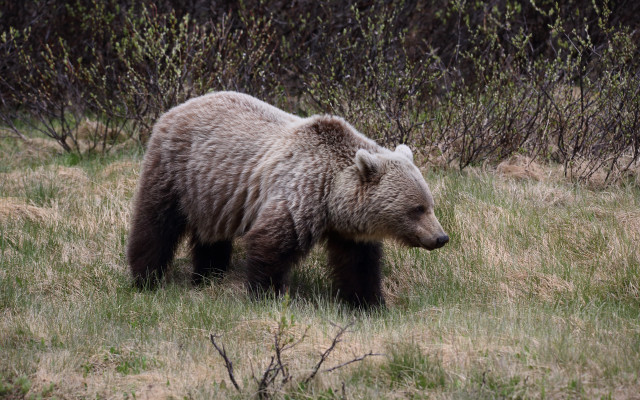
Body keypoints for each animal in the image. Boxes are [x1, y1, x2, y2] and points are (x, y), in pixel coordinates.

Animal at [126, 91, 449, 307]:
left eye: (430, 205)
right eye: (417, 208)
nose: (441, 237)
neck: (331, 196)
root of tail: (177, 107)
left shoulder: (348, 228)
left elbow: (358, 264)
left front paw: (368, 302)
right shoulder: (299, 194)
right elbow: (271, 244)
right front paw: (268, 294)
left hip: (213, 192)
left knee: (212, 236)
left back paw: (208, 275)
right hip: (175, 170)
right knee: (156, 223)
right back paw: (146, 278)